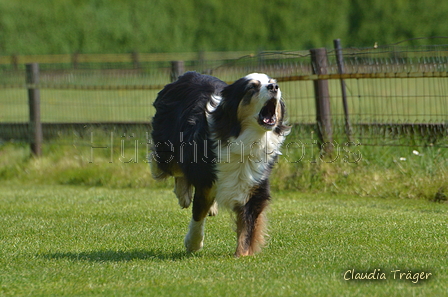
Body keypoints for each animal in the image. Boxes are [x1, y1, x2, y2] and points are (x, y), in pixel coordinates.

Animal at [150, 71, 290, 254]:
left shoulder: (253, 186)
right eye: (252, 87)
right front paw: (193, 243)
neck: (247, 140)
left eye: (272, 82)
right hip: (167, 146)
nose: (274, 87)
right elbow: (198, 213)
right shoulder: (206, 178)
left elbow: (247, 230)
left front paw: (242, 255)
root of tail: (188, 74)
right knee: (166, 166)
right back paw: (182, 195)